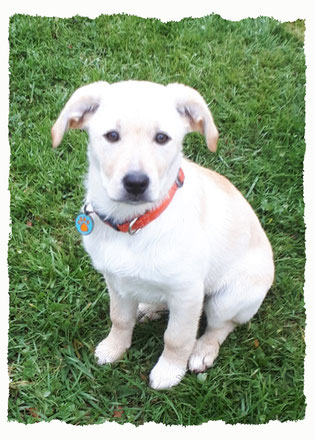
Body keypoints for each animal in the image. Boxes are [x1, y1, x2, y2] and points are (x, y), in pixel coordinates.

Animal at [51, 81, 274, 390]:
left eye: (161, 138)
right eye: (111, 136)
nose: (136, 183)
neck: (134, 224)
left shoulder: (187, 293)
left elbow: (177, 337)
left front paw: (169, 371)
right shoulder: (115, 281)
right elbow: (119, 318)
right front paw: (114, 348)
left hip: (230, 297)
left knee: (220, 326)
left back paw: (203, 350)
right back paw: (149, 307)